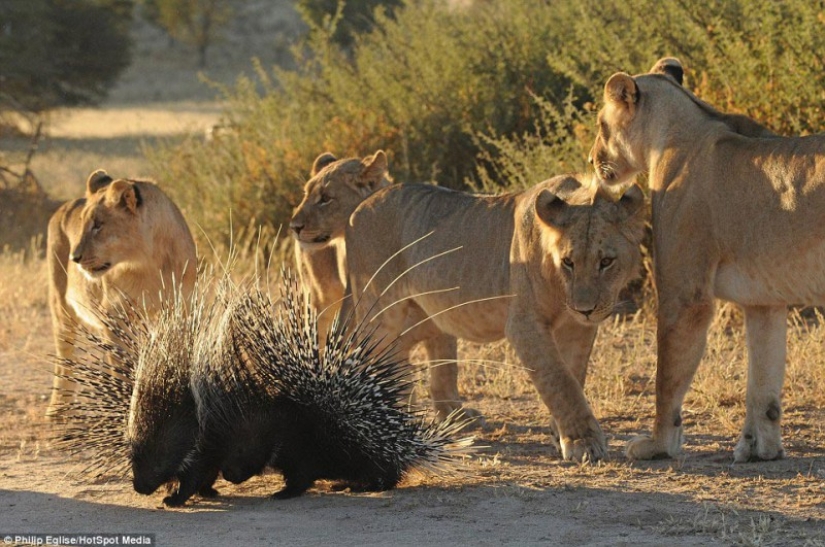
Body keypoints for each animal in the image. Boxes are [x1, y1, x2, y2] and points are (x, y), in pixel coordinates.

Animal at [46, 169, 197, 417]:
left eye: (98, 225)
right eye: (83, 224)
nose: (74, 258)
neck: (148, 263)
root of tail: (65, 205)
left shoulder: (181, 309)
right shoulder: (115, 315)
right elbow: (120, 365)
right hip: (60, 305)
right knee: (64, 356)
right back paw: (58, 410)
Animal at [289, 151, 467, 421]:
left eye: (326, 198)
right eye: (306, 194)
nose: (294, 226)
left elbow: (445, 369)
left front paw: (454, 415)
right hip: (321, 297)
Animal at [340, 175, 645, 462]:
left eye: (606, 262)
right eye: (568, 262)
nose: (585, 309)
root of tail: (358, 209)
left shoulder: (576, 328)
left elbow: (574, 375)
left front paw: (559, 431)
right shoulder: (524, 325)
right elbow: (559, 380)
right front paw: (583, 442)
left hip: (425, 315)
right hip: (382, 312)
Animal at [588, 57, 825, 463]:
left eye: (602, 125)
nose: (591, 159)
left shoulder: (685, 295)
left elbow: (667, 377)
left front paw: (657, 445)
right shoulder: (763, 301)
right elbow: (763, 381)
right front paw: (759, 448)